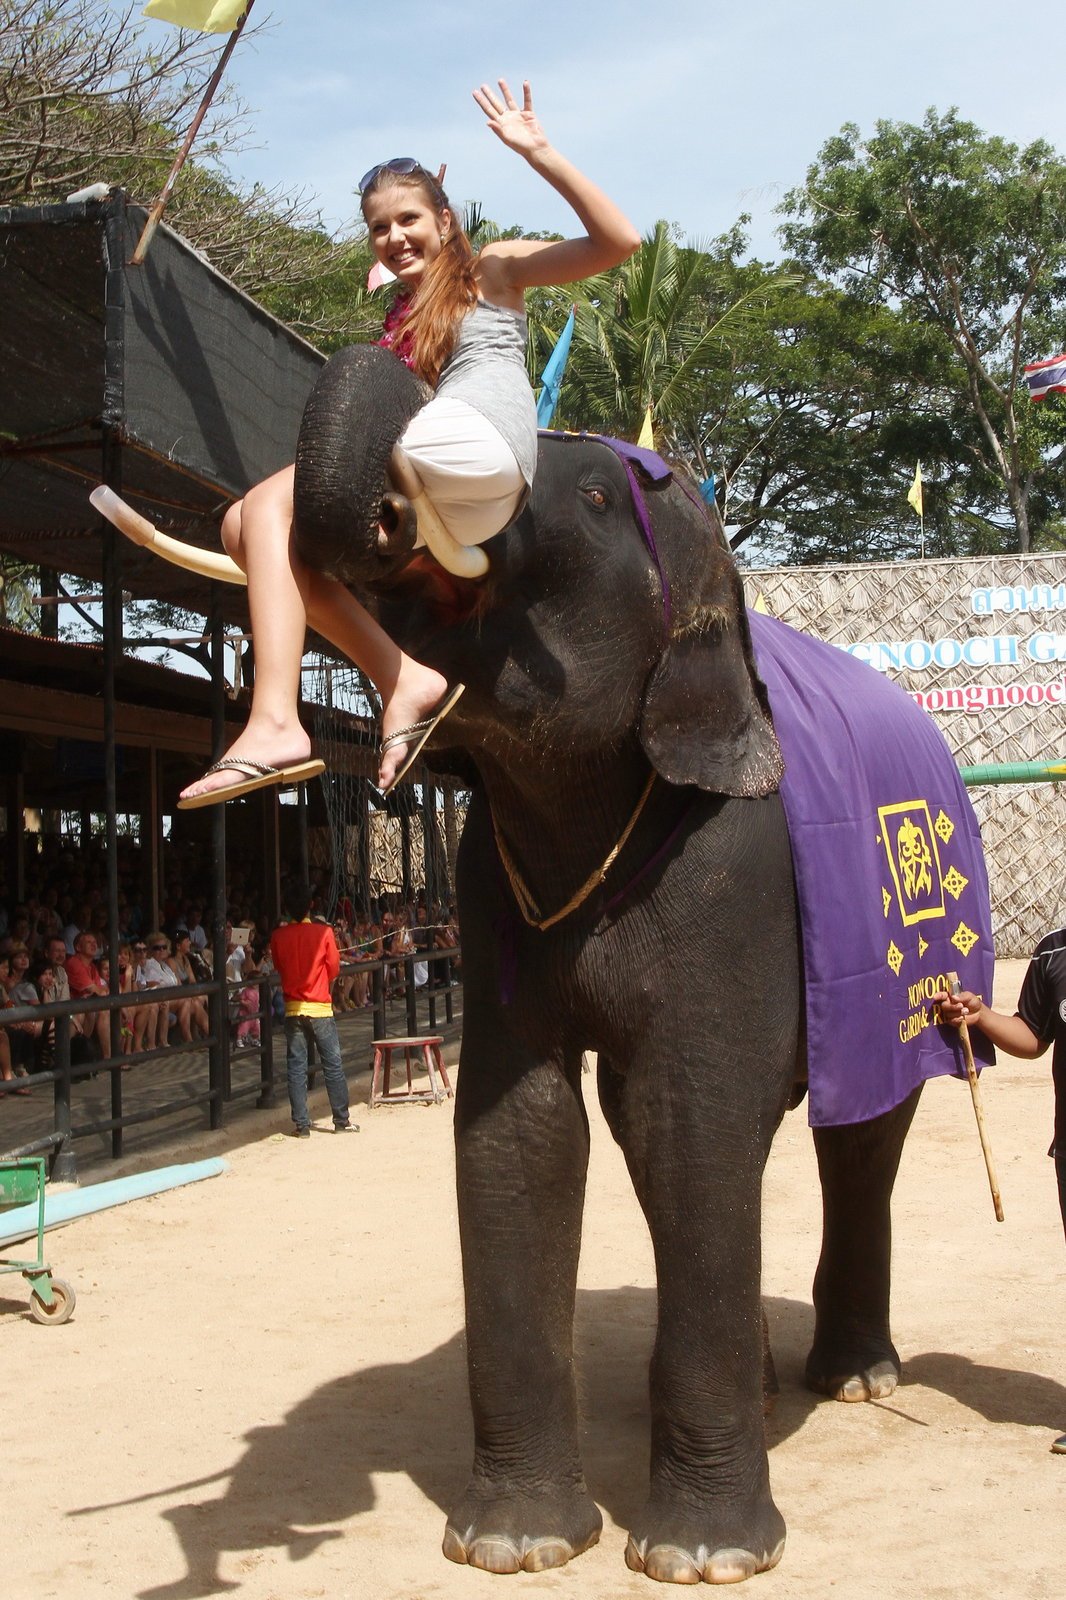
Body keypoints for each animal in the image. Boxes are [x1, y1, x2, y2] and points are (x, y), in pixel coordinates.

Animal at [288, 344, 985, 1580]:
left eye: (598, 499)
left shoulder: (736, 868)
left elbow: (689, 1119)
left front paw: (701, 1559)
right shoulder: (487, 886)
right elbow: (524, 1134)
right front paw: (512, 1543)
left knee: (858, 1139)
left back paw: (854, 1377)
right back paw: (768, 1389)